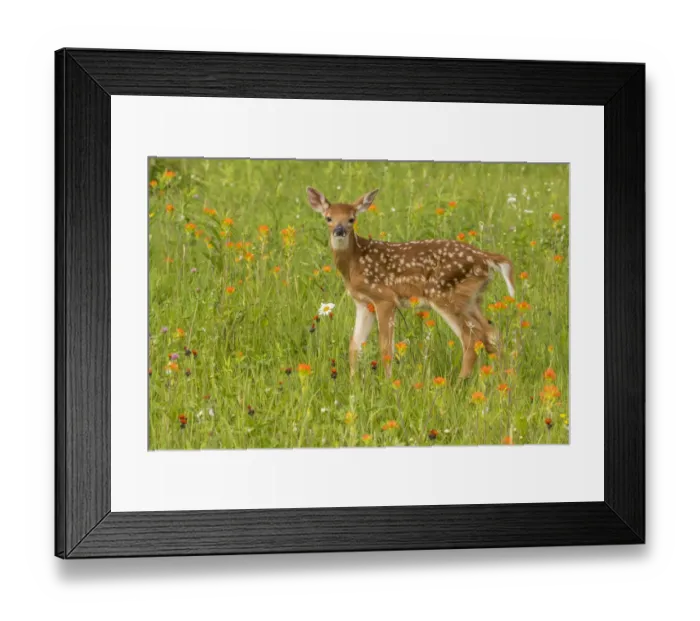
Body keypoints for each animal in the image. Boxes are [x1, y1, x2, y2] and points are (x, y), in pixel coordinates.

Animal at [307, 186, 516, 379]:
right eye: (328, 218)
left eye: (352, 219)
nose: (339, 231)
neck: (355, 263)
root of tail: (485, 258)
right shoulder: (363, 303)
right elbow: (355, 346)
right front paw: (353, 383)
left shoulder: (384, 298)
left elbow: (386, 348)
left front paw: (388, 382)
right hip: (472, 298)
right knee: (492, 334)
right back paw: (503, 377)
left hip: (443, 293)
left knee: (471, 339)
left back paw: (459, 382)